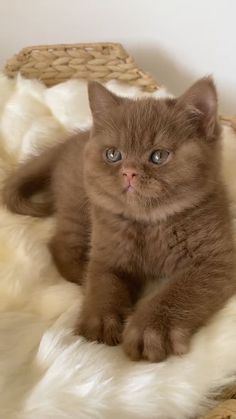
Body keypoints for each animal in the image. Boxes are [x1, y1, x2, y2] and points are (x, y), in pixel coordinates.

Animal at [2, 79, 235, 364]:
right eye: (113, 155)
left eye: (158, 156)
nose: (129, 172)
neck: (149, 223)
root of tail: (72, 140)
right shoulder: (107, 252)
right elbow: (104, 283)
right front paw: (101, 321)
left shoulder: (215, 261)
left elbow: (179, 291)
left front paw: (151, 330)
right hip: (78, 205)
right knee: (60, 246)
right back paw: (82, 275)